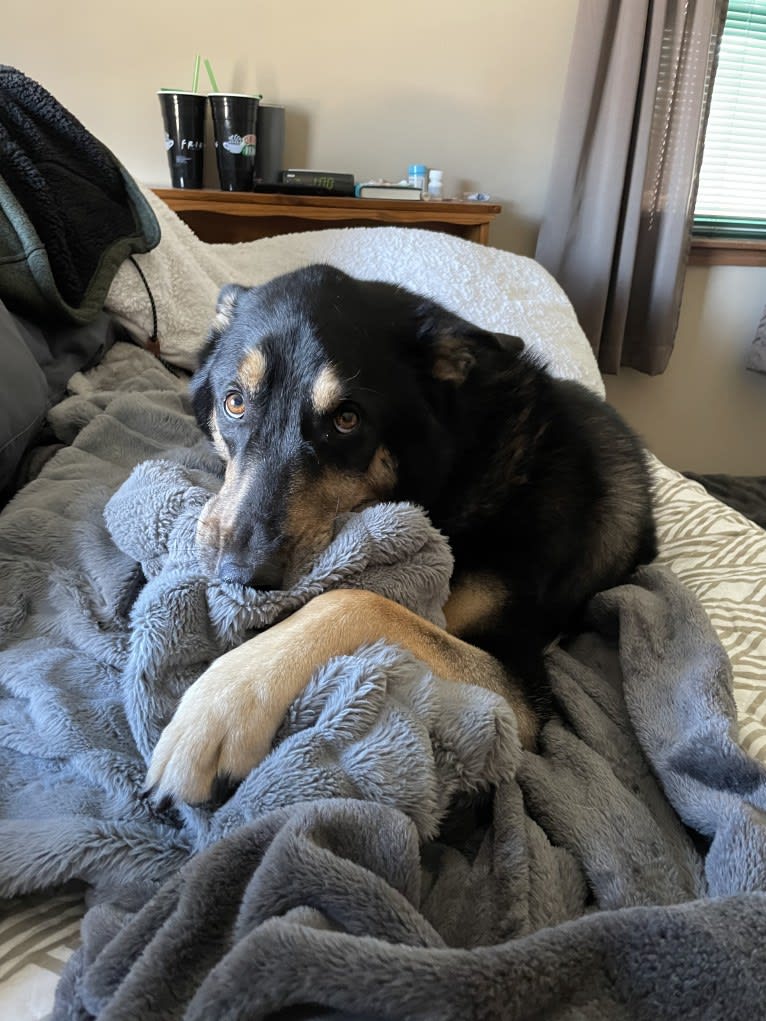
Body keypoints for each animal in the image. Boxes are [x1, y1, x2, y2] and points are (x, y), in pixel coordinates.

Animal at [147, 263, 657, 804]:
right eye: (235, 403)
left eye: (347, 420)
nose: (242, 575)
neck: (461, 459)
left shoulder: (521, 690)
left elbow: (359, 602)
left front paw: (226, 701)